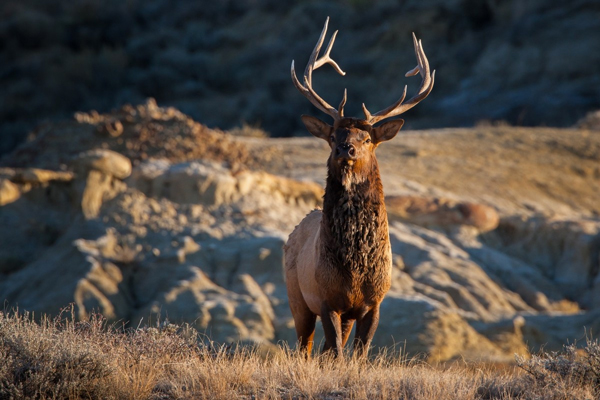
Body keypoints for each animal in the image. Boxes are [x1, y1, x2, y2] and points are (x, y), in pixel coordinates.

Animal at [284, 17, 434, 358]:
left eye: (366, 138)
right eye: (332, 135)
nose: (345, 148)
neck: (356, 266)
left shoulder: (373, 302)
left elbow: (359, 355)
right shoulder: (326, 298)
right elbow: (338, 353)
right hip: (297, 297)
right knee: (305, 347)